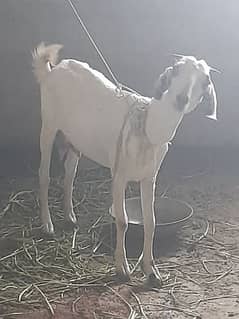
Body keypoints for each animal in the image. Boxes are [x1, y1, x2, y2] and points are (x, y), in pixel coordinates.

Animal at [32, 43, 218, 286]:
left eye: (205, 80)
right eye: (176, 69)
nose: (181, 98)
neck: (149, 125)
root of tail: (54, 69)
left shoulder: (149, 177)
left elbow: (151, 222)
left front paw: (152, 272)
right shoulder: (119, 175)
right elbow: (122, 221)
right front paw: (122, 270)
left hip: (75, 139)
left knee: (69, 175)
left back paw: (70, 218)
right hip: (48, 125)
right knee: (44, 175)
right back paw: (47, 226)